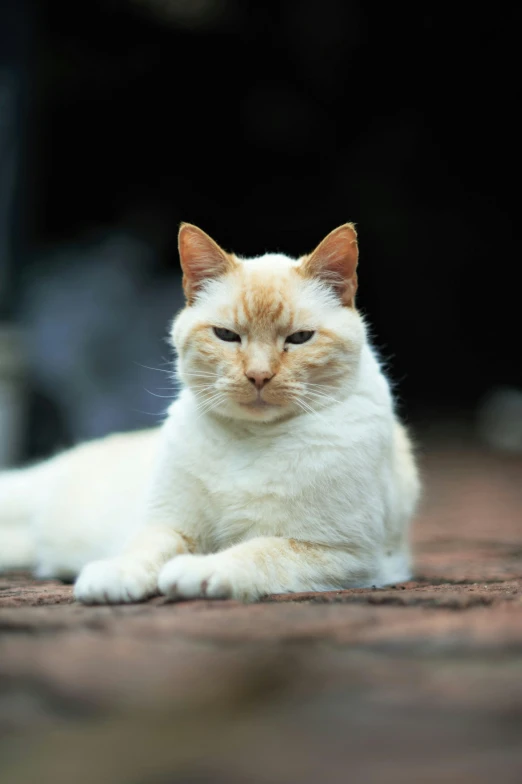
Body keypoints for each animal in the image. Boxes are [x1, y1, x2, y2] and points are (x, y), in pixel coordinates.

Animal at [0, 224, 418, 604]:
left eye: (299, 339)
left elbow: (256, 551)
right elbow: (144, 548)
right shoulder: (170, 525)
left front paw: (198, 572)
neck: (252, 439)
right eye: (226, 336)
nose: (259, 375)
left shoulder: (340, 554)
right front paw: (113, 577)